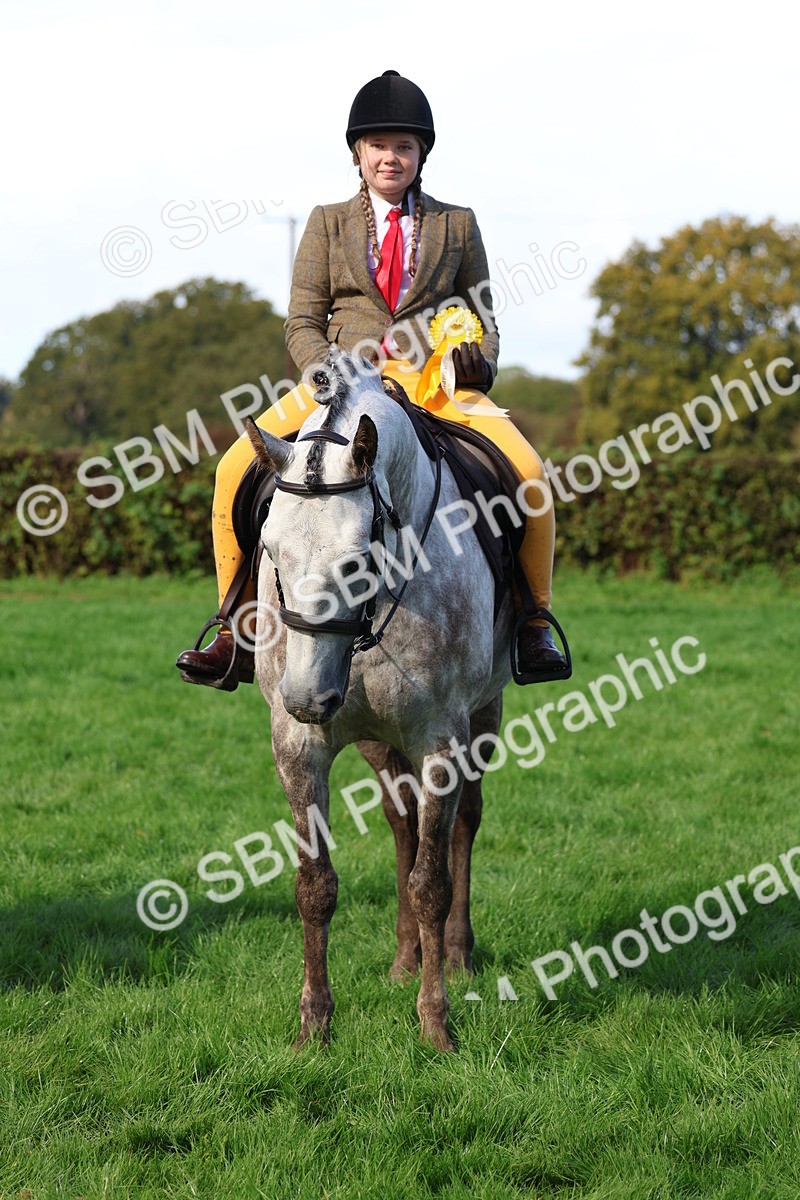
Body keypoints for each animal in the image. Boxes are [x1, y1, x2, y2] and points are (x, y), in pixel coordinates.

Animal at [244, 347, 515, 1052]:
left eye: (354, 561)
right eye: (270, 550)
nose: (308, 697)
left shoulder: (442, 741)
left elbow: (432, 883)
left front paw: (436, 1024)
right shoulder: (298, 746)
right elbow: (315, 885)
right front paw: (313, 1025)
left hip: (484, 716)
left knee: (464, 824)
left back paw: (454, 954)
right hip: (375, 739)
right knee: (400, 822)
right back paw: (403, 959)